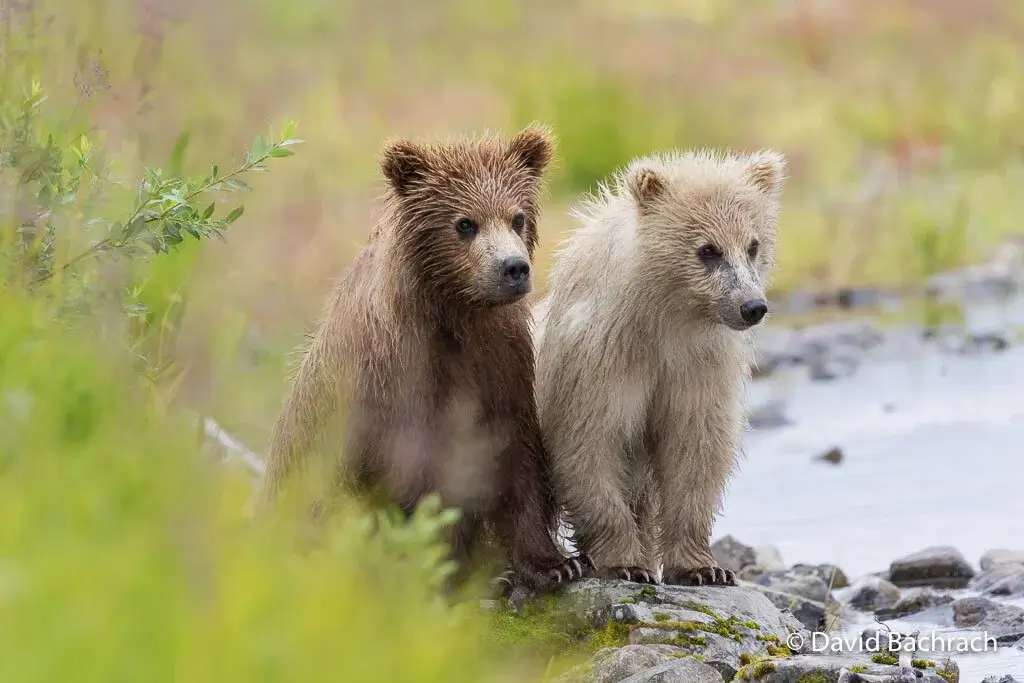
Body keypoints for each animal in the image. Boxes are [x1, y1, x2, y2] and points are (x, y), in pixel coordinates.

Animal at [255, 124, 590, 593]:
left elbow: (513, 453)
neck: (454, 315)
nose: (513, 267)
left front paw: (554, 563)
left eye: (517, 217)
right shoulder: (396, 377)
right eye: (465, 223)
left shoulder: (500, 360)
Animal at [533, 148, 786, 586]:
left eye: (753, 245)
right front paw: (625, 562)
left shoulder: (698, 367)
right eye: (708, 250)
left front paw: (704, 568)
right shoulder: (599, 362)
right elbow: (590, 445)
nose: (752, 306)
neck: (665, 322)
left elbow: (695, 449)